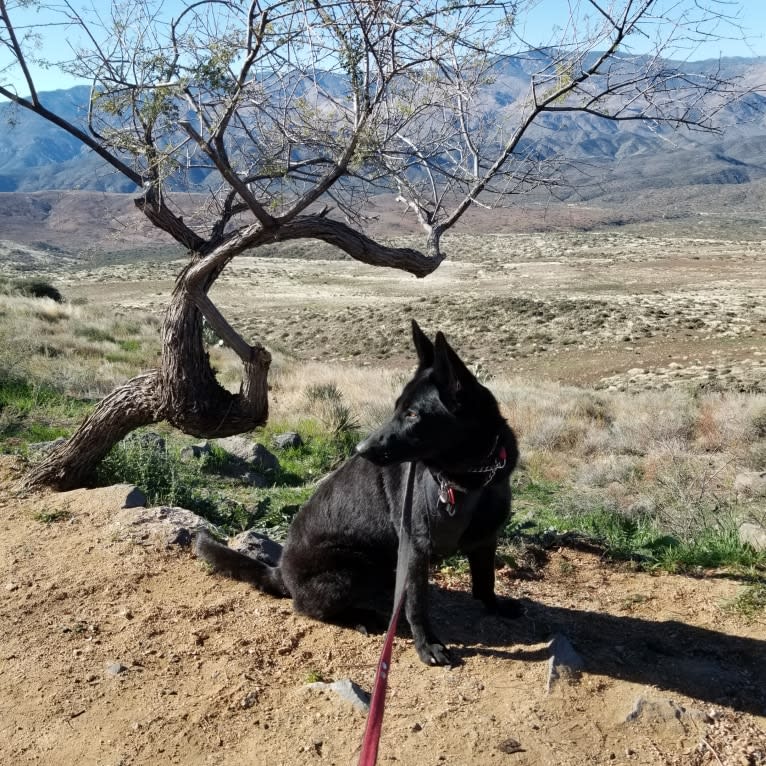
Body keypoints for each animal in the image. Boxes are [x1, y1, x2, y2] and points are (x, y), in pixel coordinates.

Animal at [195, 320, 524, 664]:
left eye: (412, 414)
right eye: (397, 409)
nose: (361, 449)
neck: (470, 477)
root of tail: (280, 573)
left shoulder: (485, 538)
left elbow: (485, 582)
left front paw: (496, 606)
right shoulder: (415, 549)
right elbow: (417, 605)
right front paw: (427, 645)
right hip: (355, 568)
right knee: (310, 608)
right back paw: (362, 616)